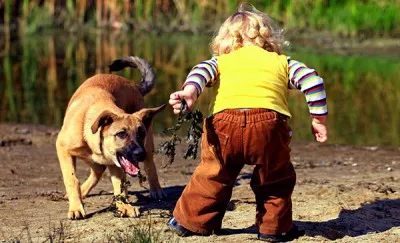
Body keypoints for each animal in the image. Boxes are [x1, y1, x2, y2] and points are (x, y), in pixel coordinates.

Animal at [56, 56, 166, 219]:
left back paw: (156, 189)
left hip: (147, 146)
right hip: (88, 157)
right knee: (98, 170)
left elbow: (120, 185)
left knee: (149, 165)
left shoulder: (117, 164)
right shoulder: (63, 149)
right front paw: (76, 207)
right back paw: (81, 193)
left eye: (141, 133)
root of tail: (133, 84)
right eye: (121, 134)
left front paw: (124, 206)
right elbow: (71, 179)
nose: (140, 154)